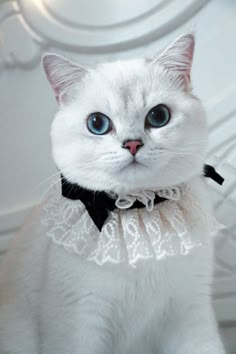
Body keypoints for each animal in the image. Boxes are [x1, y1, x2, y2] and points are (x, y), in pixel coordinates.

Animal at [0, 34, 226, 354]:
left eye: (158, 116)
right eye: (97, 123)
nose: (132, 144)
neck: (139, 212)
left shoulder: (191, 316)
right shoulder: (78, 323)